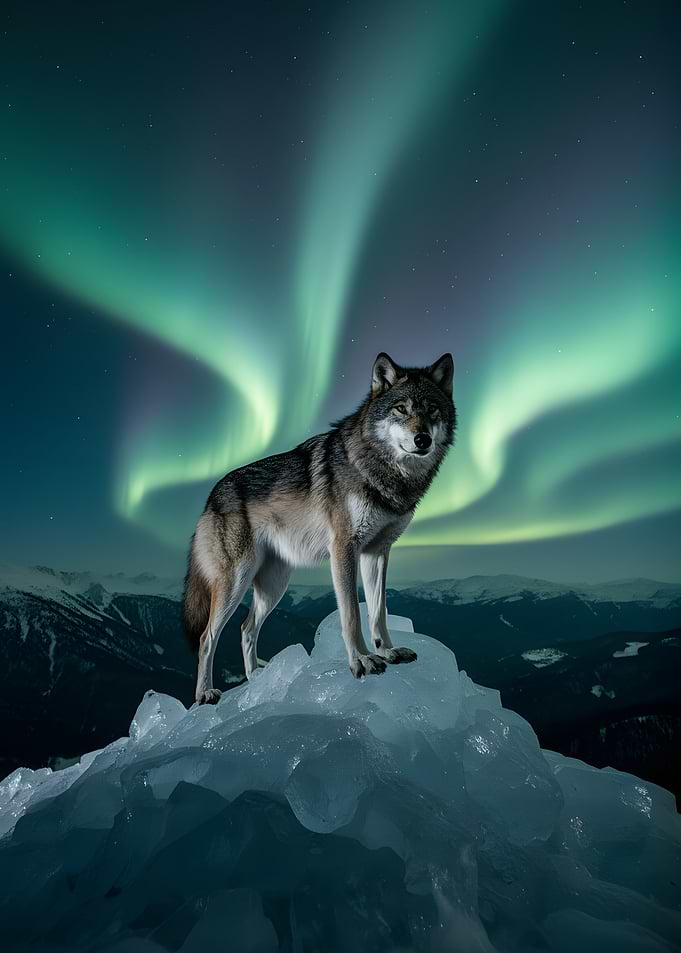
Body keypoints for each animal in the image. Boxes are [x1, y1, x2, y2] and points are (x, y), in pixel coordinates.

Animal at [183, 351, 456, 704]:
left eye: (432, 409)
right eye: (401, 409)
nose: (422, 439)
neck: (384, 474)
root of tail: (211, 495)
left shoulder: (377, 552)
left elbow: (378, 611)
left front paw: (388, 651)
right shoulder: (344, 549)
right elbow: (351, 614)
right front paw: (363, 661)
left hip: (274, 586)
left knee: (246, 628)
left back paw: (256, 679)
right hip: (236, 581)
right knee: (207, 637)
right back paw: (205, 693)